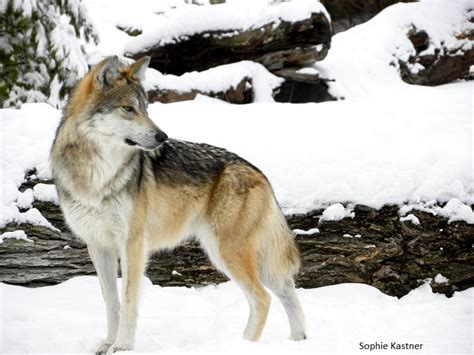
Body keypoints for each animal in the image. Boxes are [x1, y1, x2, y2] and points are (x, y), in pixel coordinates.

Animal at [49, 57, 308, 354]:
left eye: (145, 108)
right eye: (128, 109)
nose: (162, 136)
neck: (97, 175)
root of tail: (259, 173)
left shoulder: (133, 244)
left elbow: (128, 300)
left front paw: (123, 346)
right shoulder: (98, 245)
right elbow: (111, 302)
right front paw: (107, 344)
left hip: (225, 252)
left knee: (262, 299)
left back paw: (240, 345)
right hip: (252, 259)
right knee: (287, 290)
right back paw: (298, 341)